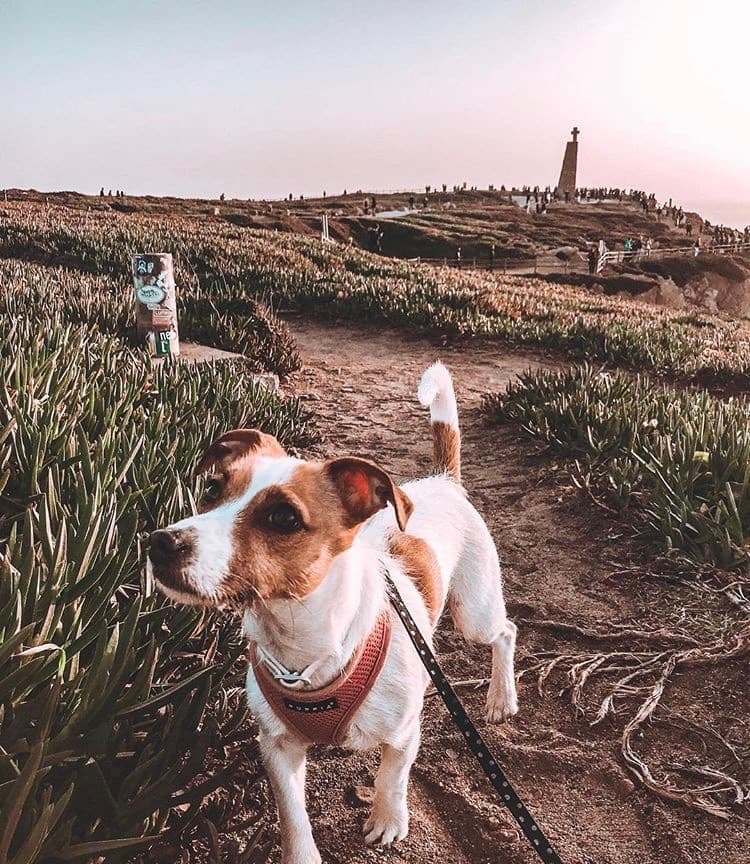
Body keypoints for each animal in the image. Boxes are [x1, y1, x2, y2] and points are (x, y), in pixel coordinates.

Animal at [150, 362, 520, 864]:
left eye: (283, 518)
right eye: (212, 488)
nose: (159, 543)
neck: (304, 648)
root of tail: (444, 481)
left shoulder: (404, 734)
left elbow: (392, 777)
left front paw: (388, 820)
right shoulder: (277, 747)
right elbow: (293, 817)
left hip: (474, 612)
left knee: (505, 631)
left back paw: (502, 698)